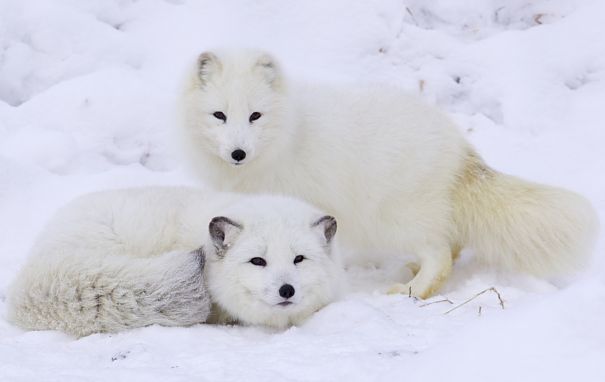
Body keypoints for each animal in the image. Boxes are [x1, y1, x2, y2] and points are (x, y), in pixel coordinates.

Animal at [177, 50, 596, 298]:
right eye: (219, 115)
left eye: (255, 116)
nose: (238, 153)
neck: (286, 135)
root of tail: (459, 146)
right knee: (451, 243)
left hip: (394, 217)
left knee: (440, 254)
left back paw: (411, 291)